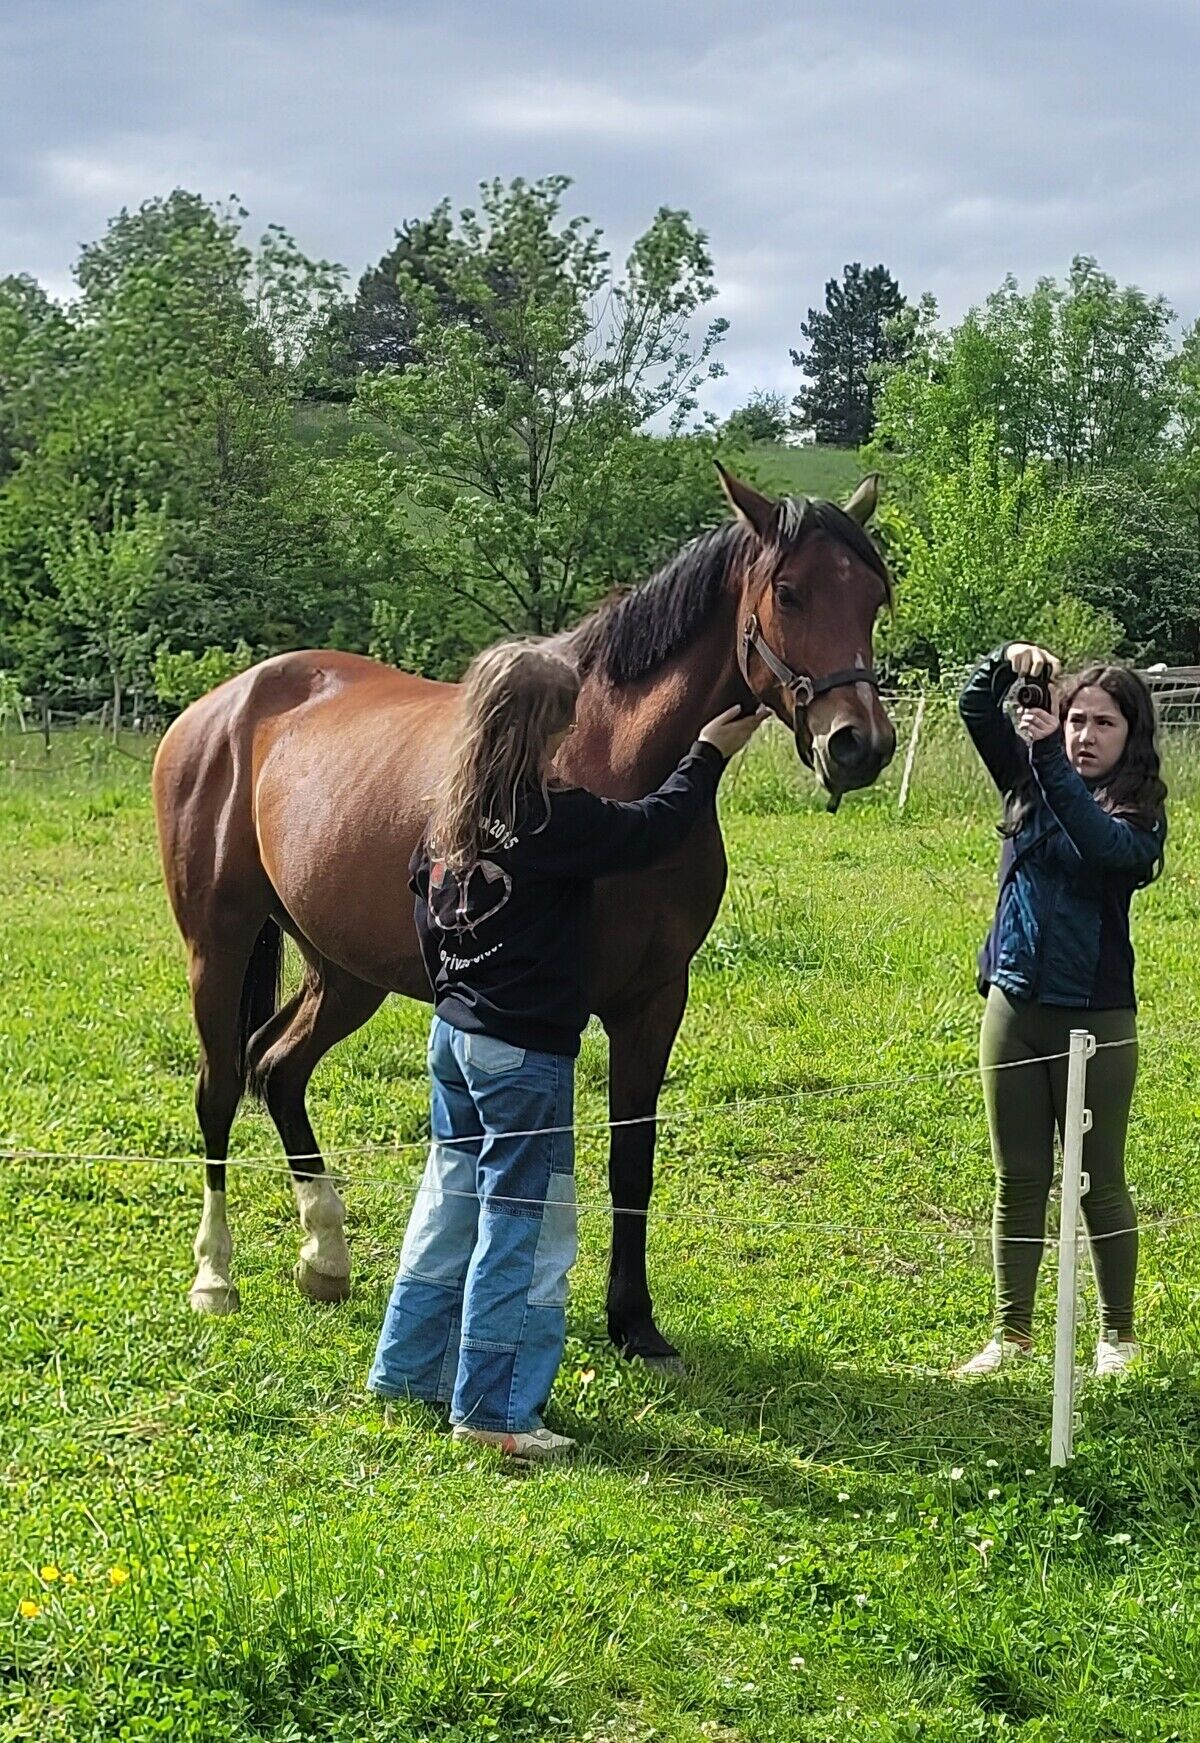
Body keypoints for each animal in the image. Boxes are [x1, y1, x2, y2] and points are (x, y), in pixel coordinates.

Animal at [151, 463, 896, 1366]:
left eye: (874, 597)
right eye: (789, 593)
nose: (860, 744)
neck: (616, 765)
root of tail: (222, 706)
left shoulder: (654, 1000)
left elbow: (632, 1160)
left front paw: (634, 1321)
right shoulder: (559, 1010)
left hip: (345, 969)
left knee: (278, 1067)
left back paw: (325, 1255)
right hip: (218, 946)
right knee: (221, 1086)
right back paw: (215, 1275)